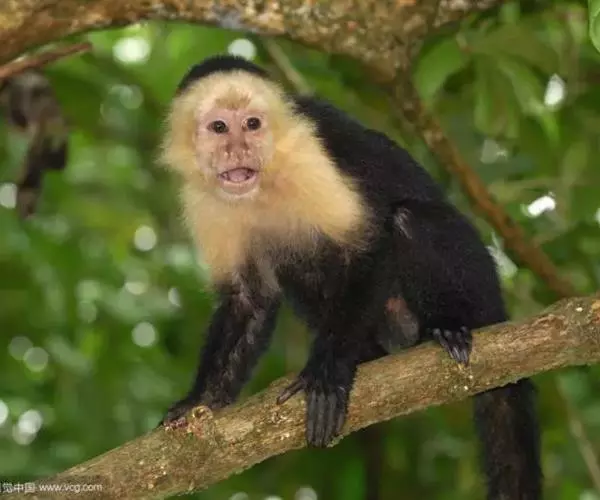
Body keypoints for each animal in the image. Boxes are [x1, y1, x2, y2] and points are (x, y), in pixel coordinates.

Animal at [159, 55, 541, 500]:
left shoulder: (309, 155)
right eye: (219, 127)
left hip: (479, 283)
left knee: (410, 220)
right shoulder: (202, 198)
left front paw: (327, 376)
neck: (264, 183)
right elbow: (247, 297)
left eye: (252, 124)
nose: (239, 148)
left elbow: (366, 245)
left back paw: (448, 326)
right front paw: (200, 400)